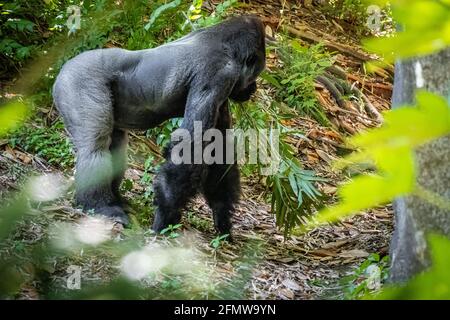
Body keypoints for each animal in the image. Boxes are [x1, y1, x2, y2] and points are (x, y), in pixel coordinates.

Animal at [52, 15, 266, 235]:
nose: (253, 88)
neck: (228, 48)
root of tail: (63, 68)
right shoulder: (219, 76)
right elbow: (190, 148)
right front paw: (165, 219)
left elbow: (218, 151)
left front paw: (222, 218)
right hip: (78, 81)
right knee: (95, 147)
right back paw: (100, 206)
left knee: (115, 144)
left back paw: (117, 200)